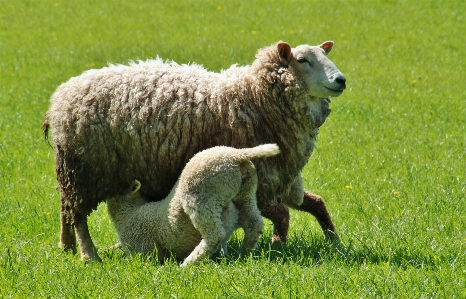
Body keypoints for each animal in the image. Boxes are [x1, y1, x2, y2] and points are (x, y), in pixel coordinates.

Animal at [106, 144, 280, 266]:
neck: (128, 214)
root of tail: (236, 155)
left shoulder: (140, 249)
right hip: (246, 193)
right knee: (254, 223)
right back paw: (243, 252)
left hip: (201, 196)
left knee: (215, 235)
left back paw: (189, 263)